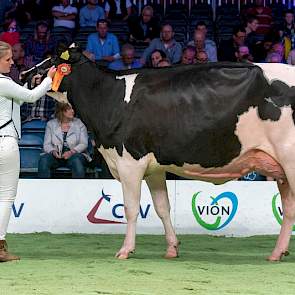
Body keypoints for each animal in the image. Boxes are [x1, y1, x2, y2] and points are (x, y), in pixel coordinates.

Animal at [23, 46, 295, 262]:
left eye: (54, 59)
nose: (24, 74)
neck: (108, 97)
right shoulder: (153, 168)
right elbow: (162, 207)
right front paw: (172, 248)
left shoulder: (129, 162)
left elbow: (131, 208)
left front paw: (126, 250)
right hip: (281, 170)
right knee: (289, 209)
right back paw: (276, 253)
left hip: (289, 159)